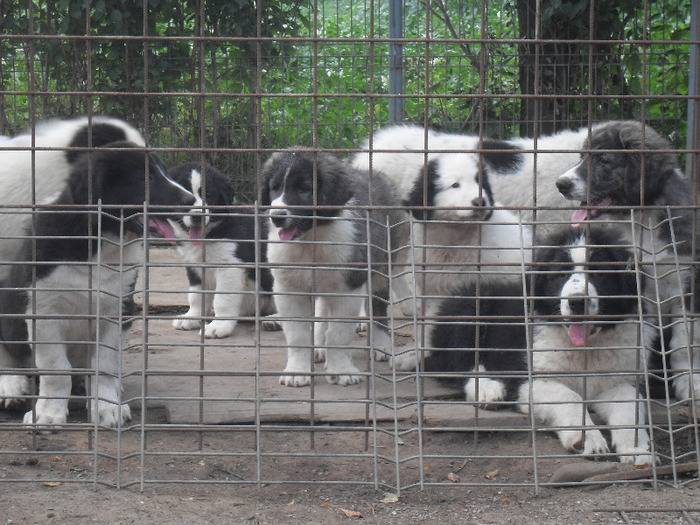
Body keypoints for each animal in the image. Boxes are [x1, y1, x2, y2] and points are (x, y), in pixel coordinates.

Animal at [0, 131, 194, 426]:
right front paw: (48, 413)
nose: (191, 200)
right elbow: (56, 369)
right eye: (145, 178)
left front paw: (106, 407)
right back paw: (11, 385)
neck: (101, 247)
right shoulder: (43, 312)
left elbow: (104, 366)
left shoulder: (117, 310)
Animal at [168, 162, 274, 338]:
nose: (197, 216)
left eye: (208, 194)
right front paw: (192, 317)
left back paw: (275, 320)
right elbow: (196, 296)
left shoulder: (229, 266)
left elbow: (223, 299)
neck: (211, 233)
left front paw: (218, 326)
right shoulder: (194, 267)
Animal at [262, 149, 404, 386]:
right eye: (275, 187)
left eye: (304, 189)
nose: (277, 217)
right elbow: (297, 334)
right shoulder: (288, 288)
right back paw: (319, 345)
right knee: (322, 310)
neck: (310, 239)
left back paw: (382, 344)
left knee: (378, 306)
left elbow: (339, 332)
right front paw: (297, 371)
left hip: (382, 267)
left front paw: (341, 370)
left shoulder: (347, 287)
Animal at [520, 227, 656, 464]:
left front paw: (636, 447)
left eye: (598, 273)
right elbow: (569, 396)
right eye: (560, 274)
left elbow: (630, 403)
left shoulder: (618, 379)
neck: (586, 349)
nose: (577, 302)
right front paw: (587, 438)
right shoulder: (532, 381)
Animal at [556, 122, 696, 402]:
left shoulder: (685, 280)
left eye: (603, 160)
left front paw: (688, 383)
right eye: (582, 156)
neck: (641, 220)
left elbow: (683, 341)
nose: (560, 184)